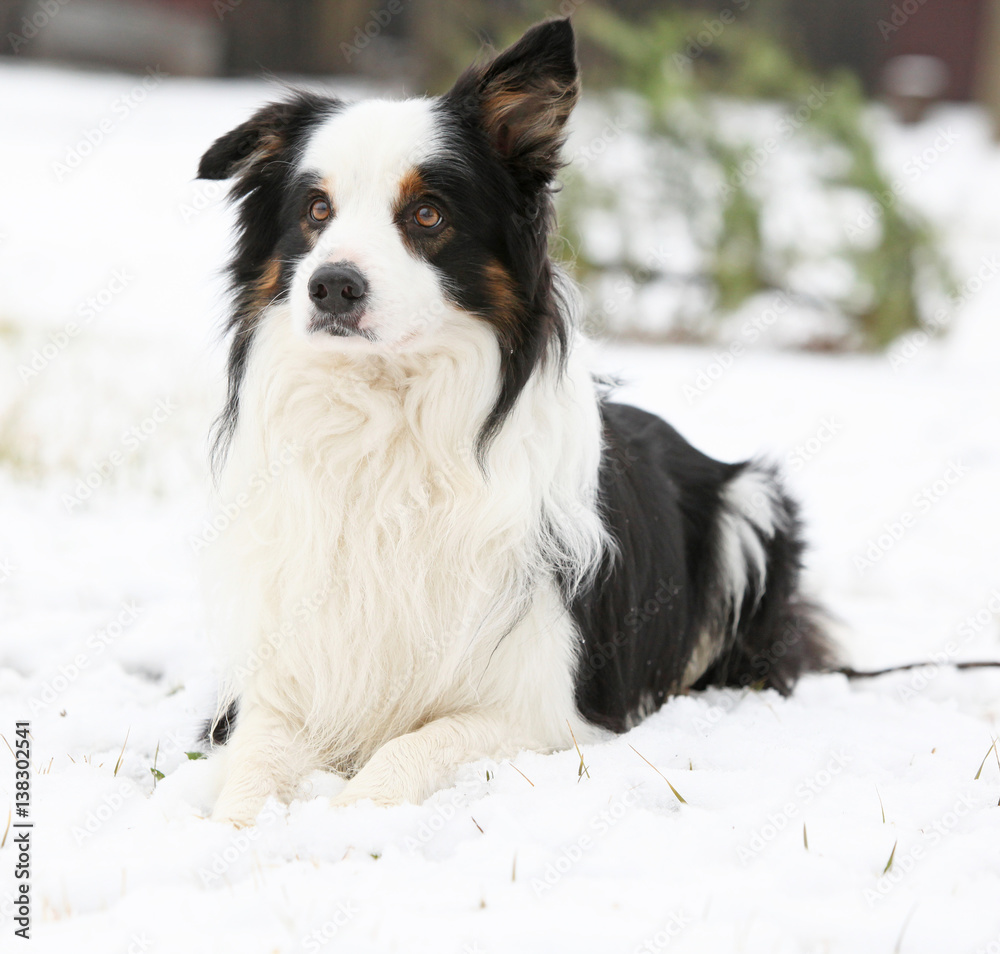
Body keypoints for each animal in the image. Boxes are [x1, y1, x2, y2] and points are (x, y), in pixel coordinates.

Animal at [199, 18, 832, 824]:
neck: (389, 422)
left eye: (428, 214)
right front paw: (240, 826)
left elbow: (416, 743)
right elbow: (256, 756)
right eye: (316, 211)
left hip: (751, 505)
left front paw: (351, 817)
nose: (332, 286)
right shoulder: (285, 670)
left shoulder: (549, 707)